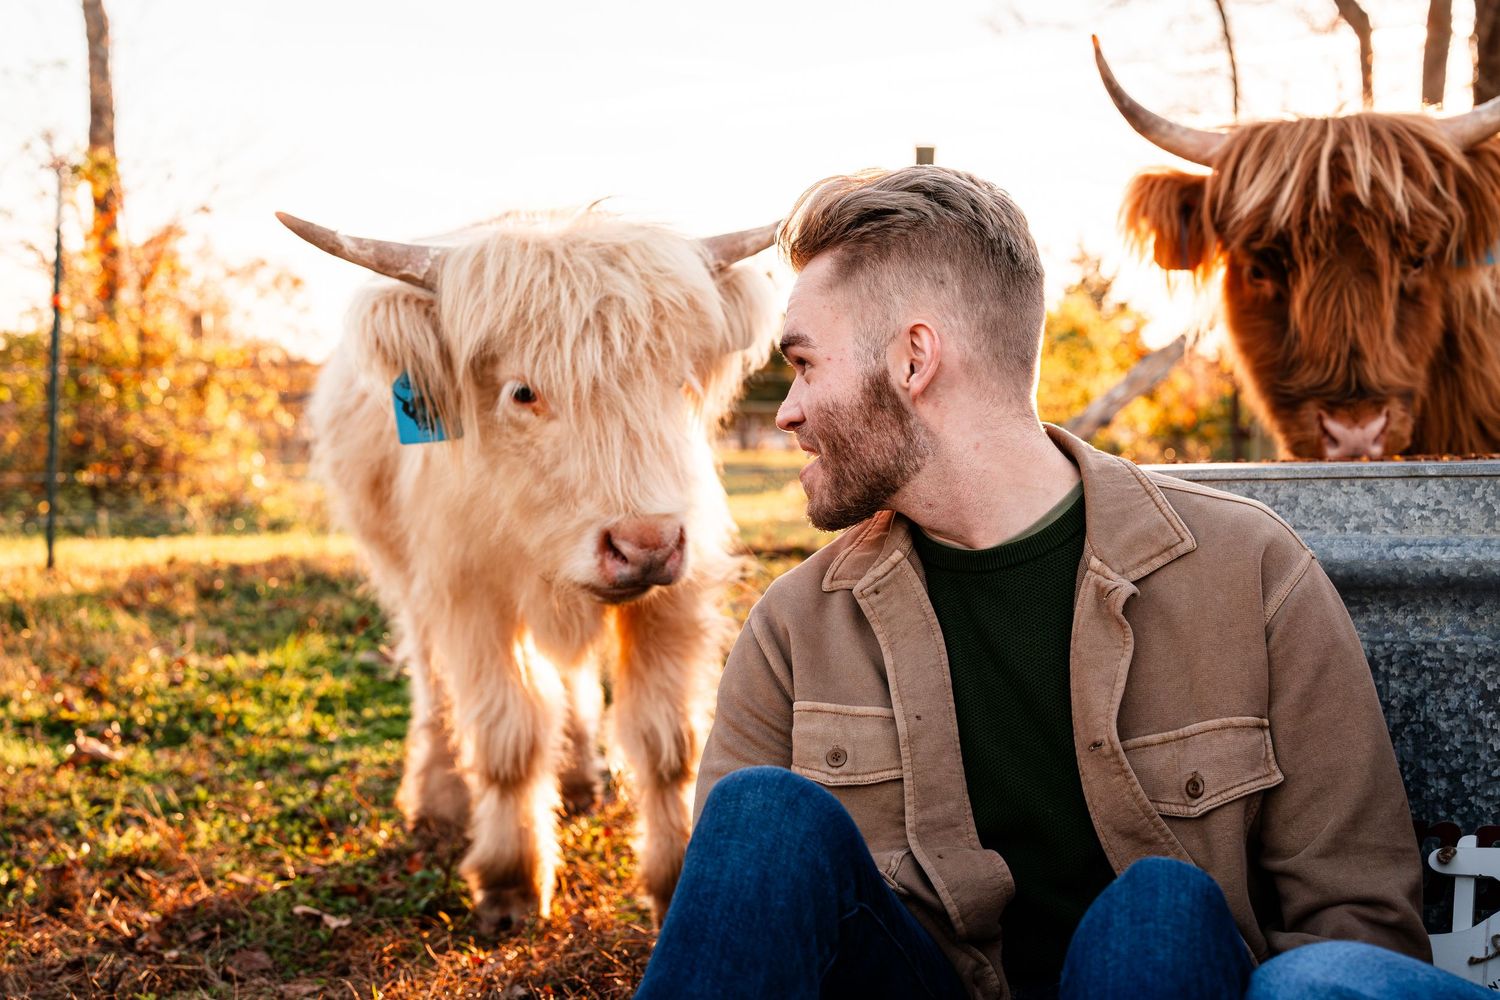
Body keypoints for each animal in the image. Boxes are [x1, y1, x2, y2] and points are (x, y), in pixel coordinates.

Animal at [277, 208, 778, 932]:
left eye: (679, 383)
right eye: (523, 392)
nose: (645, 545)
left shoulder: (674, 599)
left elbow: (668, 742)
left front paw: (675, 874)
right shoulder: (472, 597)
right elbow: (508, 740)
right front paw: (511, 881)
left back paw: (579, 774)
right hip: (405, 579)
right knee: (432, 684)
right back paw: (439, 796)